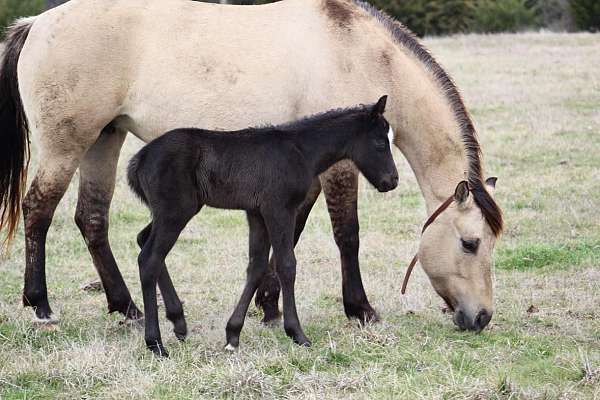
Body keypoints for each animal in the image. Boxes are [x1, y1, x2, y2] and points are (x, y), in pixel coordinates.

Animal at [127, 94, 398, 356]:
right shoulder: (279, 209)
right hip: (175, 213)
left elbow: (256, 267)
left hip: (170, 213)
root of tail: (139, 159)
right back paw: (155, 343)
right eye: (380, 143)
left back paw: (179, 322)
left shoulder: (256, 214)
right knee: (149, 259)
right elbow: (286, 265)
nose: (392, 181)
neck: (301, 150)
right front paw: (297, 333)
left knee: (143, 240)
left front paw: (232, 335)